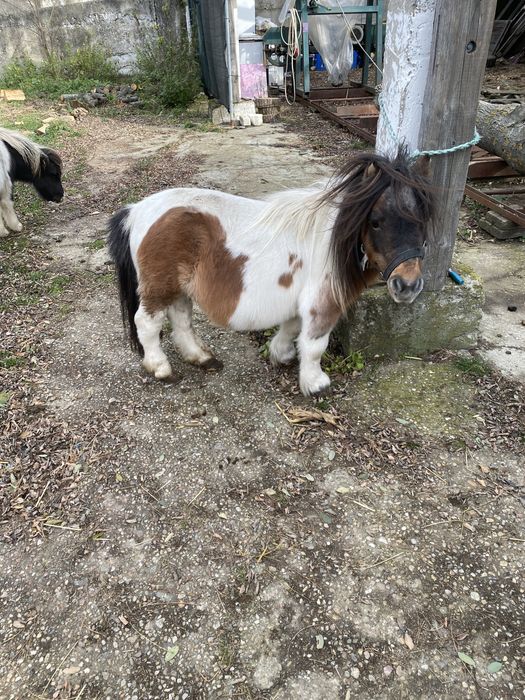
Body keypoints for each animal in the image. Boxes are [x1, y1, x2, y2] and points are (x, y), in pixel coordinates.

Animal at [108, 150, 434, 396]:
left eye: (423, 220)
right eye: (375, 222)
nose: (407, 285)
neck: (330, 239)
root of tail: (136, 210)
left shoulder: (299, 300)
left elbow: (291, 328)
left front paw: (281, 354)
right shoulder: (321, 303)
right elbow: (315, 345)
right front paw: (315, 384)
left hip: (178, 288)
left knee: (181, 321)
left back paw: (202, 357)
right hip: (159, 288)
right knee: (147, 323)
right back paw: (160, 367)